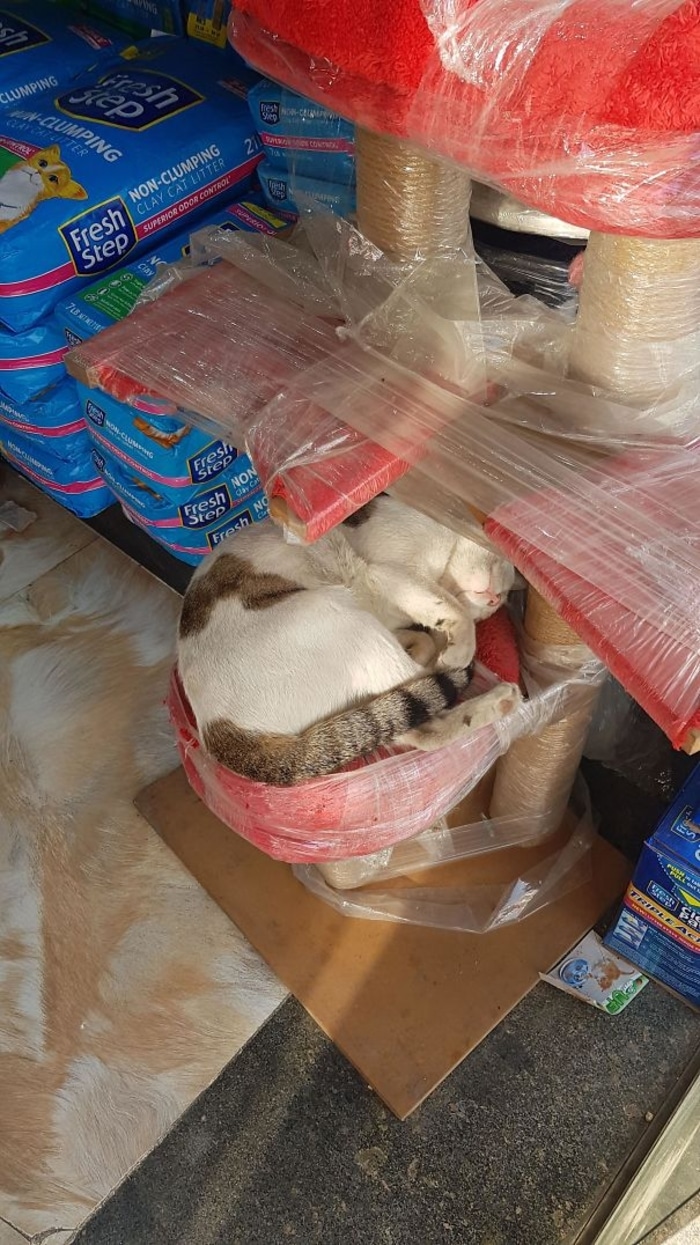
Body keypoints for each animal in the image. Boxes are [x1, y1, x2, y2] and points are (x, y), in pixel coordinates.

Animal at [178, 490, 518, 781]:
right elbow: (450, 607)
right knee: (425, 717)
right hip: (341, 614)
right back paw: (498, 695)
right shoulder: (391, 572)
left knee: (408, 719)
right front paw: (458, 645)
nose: (494, 600)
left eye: (500, 601)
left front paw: (431, 641)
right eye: (498, 565)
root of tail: (216, 731)